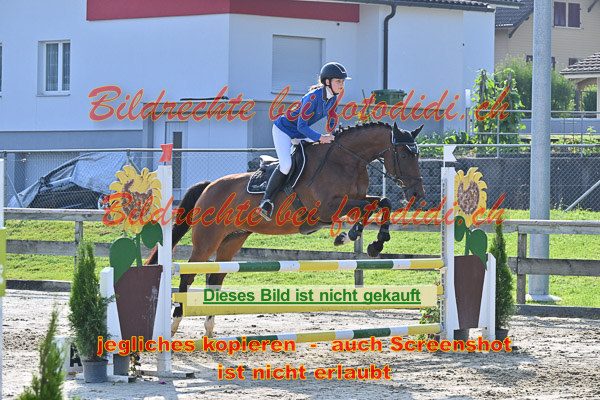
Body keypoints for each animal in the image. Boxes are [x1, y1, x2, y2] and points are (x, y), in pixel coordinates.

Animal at [147, 121, 425, 337]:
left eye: (418, 155)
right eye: (403, 155)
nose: (417, 194)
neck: (346, 160)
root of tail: (209, 186)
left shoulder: (352, 201)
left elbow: (382, 202)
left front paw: (373, 242)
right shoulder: (327, 208)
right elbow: (371, 208)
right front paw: (352, 235)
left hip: (232, 239)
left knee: (215, 278)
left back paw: (209, 327)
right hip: (207, 240)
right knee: (188, 276)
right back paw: (174, 325)